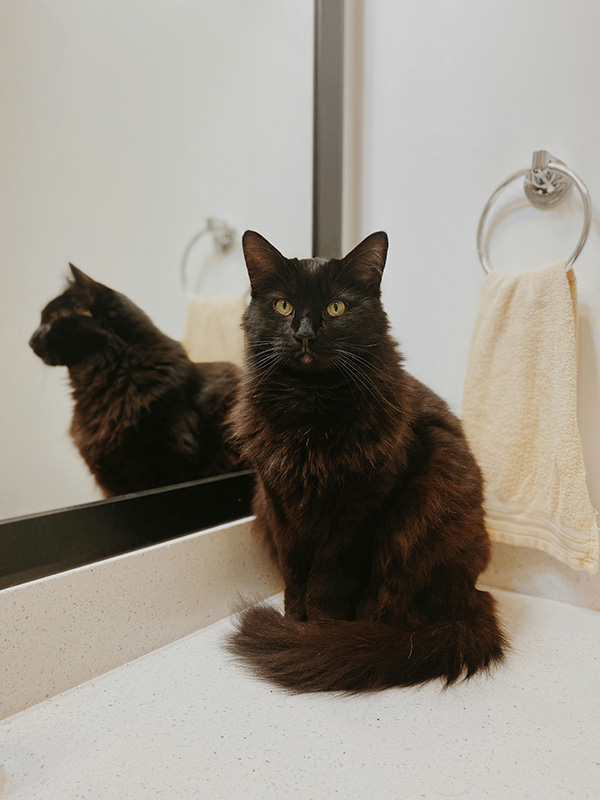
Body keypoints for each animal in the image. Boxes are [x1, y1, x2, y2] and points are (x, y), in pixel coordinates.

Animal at [229, 228, 506, 692]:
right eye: (283, 305)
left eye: (336, 307)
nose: (305, 334)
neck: (309, 408)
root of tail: (472, 599)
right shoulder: (279, 501)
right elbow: (294, 572)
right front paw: (294, 621)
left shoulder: (357, 511)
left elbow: (327, 581)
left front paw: (317, 633)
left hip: (427, 505)